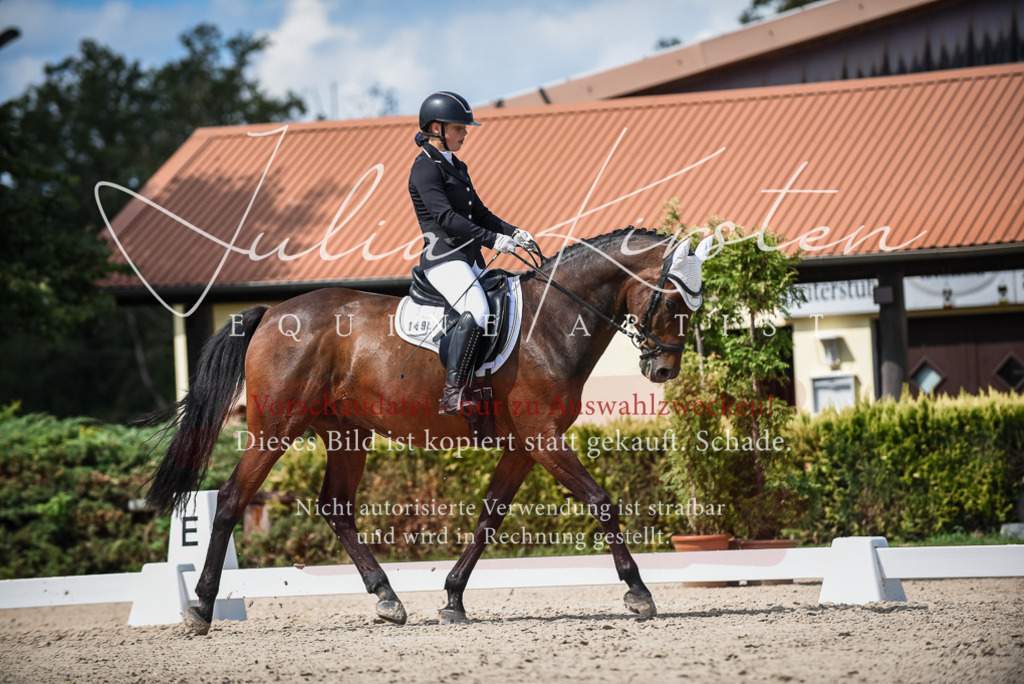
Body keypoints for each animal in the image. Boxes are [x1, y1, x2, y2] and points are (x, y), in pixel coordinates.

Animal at [145, 226, 715, 635]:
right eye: (672, 301)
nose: (663, 371)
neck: (553, 321)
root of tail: (269, 316)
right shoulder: (543, 437)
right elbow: (601, 502)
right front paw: (638, 592)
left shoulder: (524, 446)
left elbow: (489, 516)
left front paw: (454, 598)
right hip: (275, 428)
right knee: (232, 498)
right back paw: (200, 608)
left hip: (347, 433)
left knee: (336, 508)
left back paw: (387, 598)